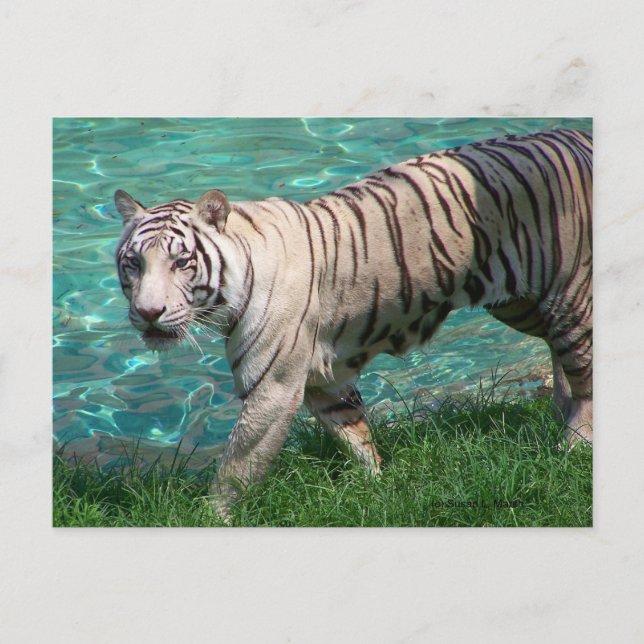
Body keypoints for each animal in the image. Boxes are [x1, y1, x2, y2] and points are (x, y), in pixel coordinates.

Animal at [114, 128, 592, 517]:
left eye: (181, 262)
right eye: (134, 263)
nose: (149, 313)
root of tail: (575, 136)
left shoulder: (273, 387)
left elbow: (238, 463)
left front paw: (211, 516)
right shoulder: (324, 381)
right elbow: (352, 433)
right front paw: (376, 486)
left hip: (567, 296)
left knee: (584, 372)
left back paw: (573, 443)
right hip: (519, 304)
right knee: (555, 351)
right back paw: (558, 409)